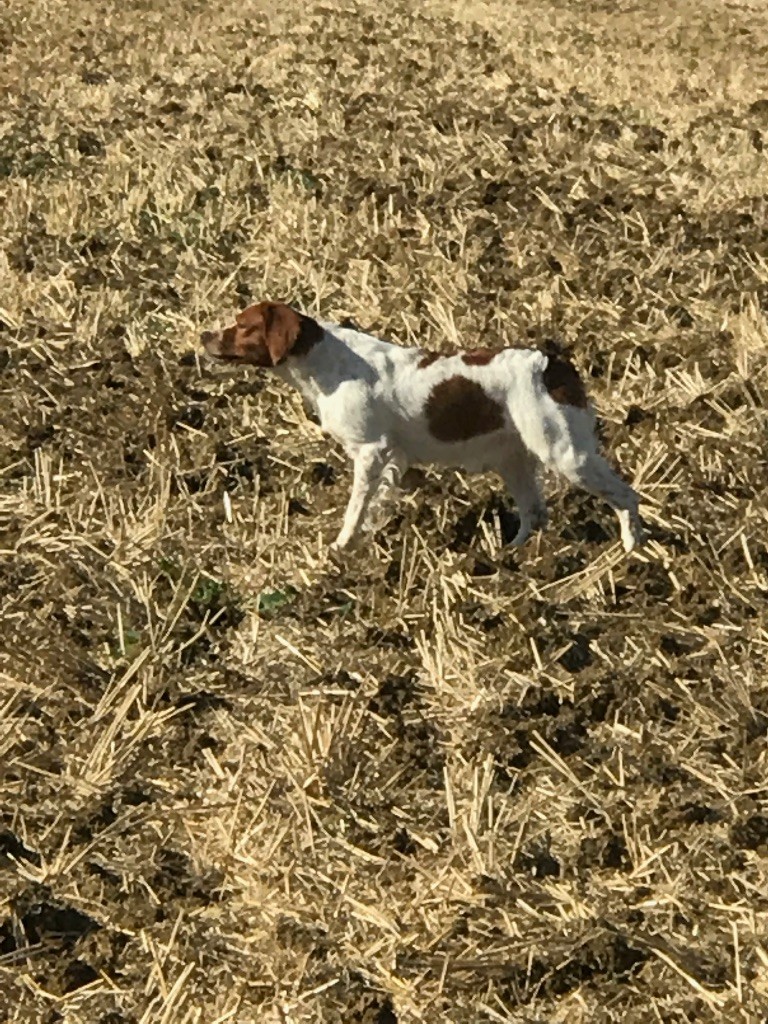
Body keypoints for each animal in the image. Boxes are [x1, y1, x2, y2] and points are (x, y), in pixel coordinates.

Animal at [201, 299, 647, 557]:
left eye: (243, 325)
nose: (204, 335)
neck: (325, 363)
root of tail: (553, 364)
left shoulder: (371, 450)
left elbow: (355, 509)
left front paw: (342, 548)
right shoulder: (393, 458)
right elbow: (379, 502)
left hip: (565, 452)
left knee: (626, 495)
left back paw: (631, 550)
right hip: (514, 458)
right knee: (535, 513)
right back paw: (507, 558)